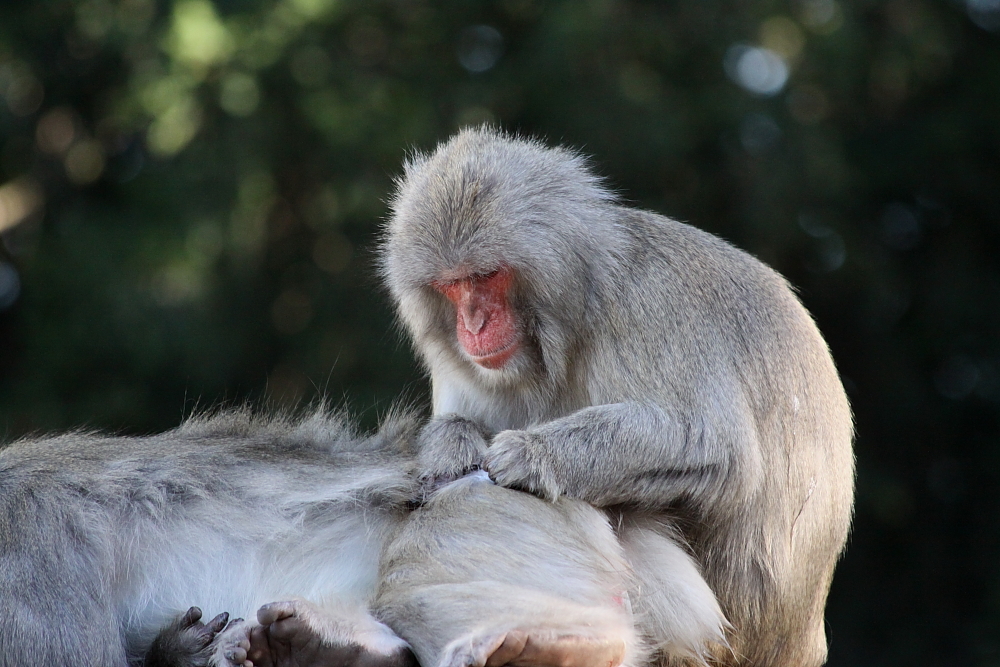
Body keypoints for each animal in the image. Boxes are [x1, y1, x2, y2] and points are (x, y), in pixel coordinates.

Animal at [378, 128, 856, 664]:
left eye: (486, 276)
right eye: (452, 286)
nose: (473, 325)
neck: (571, 321)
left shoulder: (650, 302)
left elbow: (713, 449)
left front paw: (529, 455)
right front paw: (450, 446)